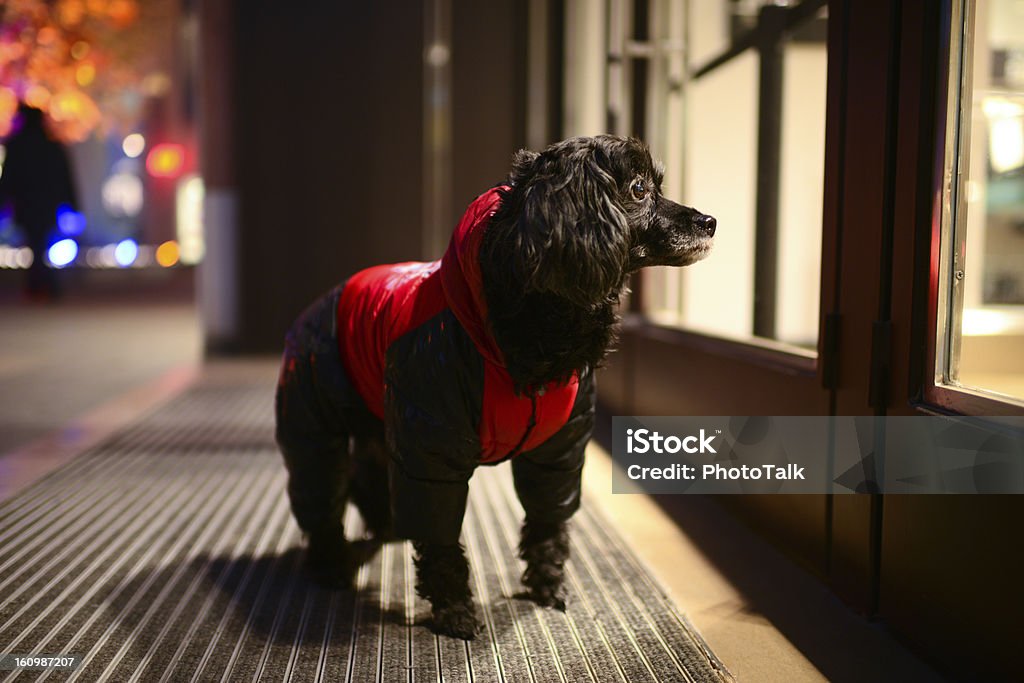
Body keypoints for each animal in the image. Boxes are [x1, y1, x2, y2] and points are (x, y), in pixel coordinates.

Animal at [276, 135, 716, 643]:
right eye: (640, 189)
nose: (710, 221)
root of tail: (315, 307)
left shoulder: (560, 448)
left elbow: (548, 523)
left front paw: (547, 589)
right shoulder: (432, 446)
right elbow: (440, 539)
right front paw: (454, 612)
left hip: (378, 423)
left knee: (368, 476)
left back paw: (386, 528)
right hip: (313, 422)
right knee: (321, 495)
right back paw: (332, 565)